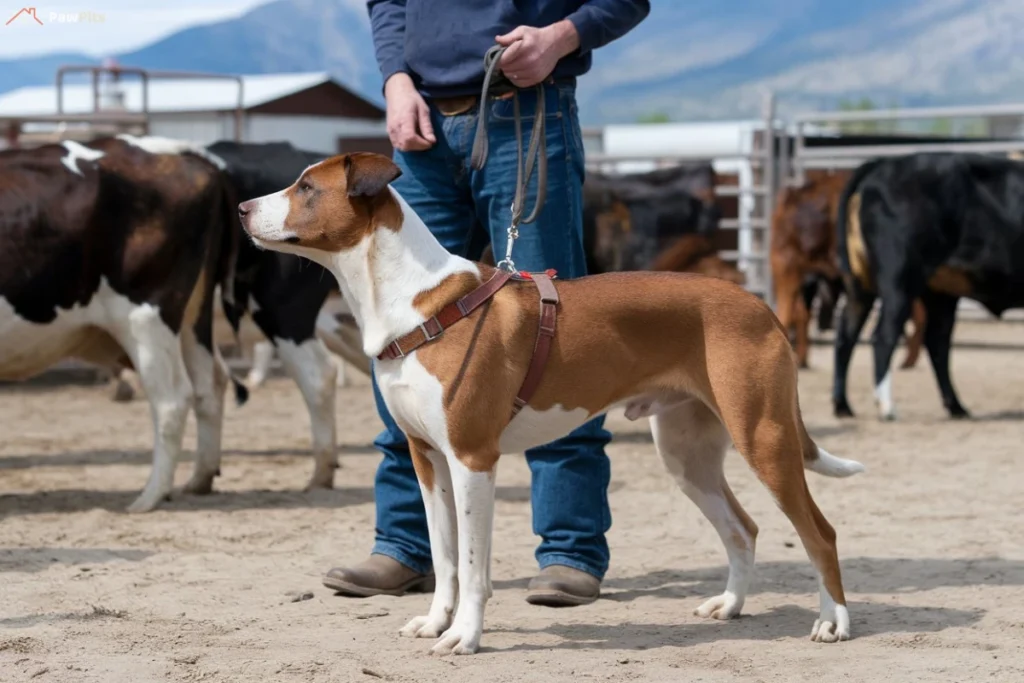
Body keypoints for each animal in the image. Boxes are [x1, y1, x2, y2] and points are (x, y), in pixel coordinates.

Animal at [0, 133, 243, 509]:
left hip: (145, 318)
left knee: (172, 400)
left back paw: (150, 497)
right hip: (193, 317)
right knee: (211, 383)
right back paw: (199, 478)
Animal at [234, 152, 864, 655]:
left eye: (306, 188)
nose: (240, 207)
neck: (417, 302)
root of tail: (759, 305)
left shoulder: (472, 460)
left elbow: (472, 565)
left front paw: (464, 636)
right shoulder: (426, 459)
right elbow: (444, 557)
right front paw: (436, 622)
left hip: (765, 439)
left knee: (820, 533)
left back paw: (833, 622)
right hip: (688, 455)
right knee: (743, 528)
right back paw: (729, 605)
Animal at [831, 153, 1024, 421]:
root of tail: (886, 162)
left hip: (884, 287)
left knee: (849, 336)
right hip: (900, 281)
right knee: (884, 336)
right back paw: (887, 406)